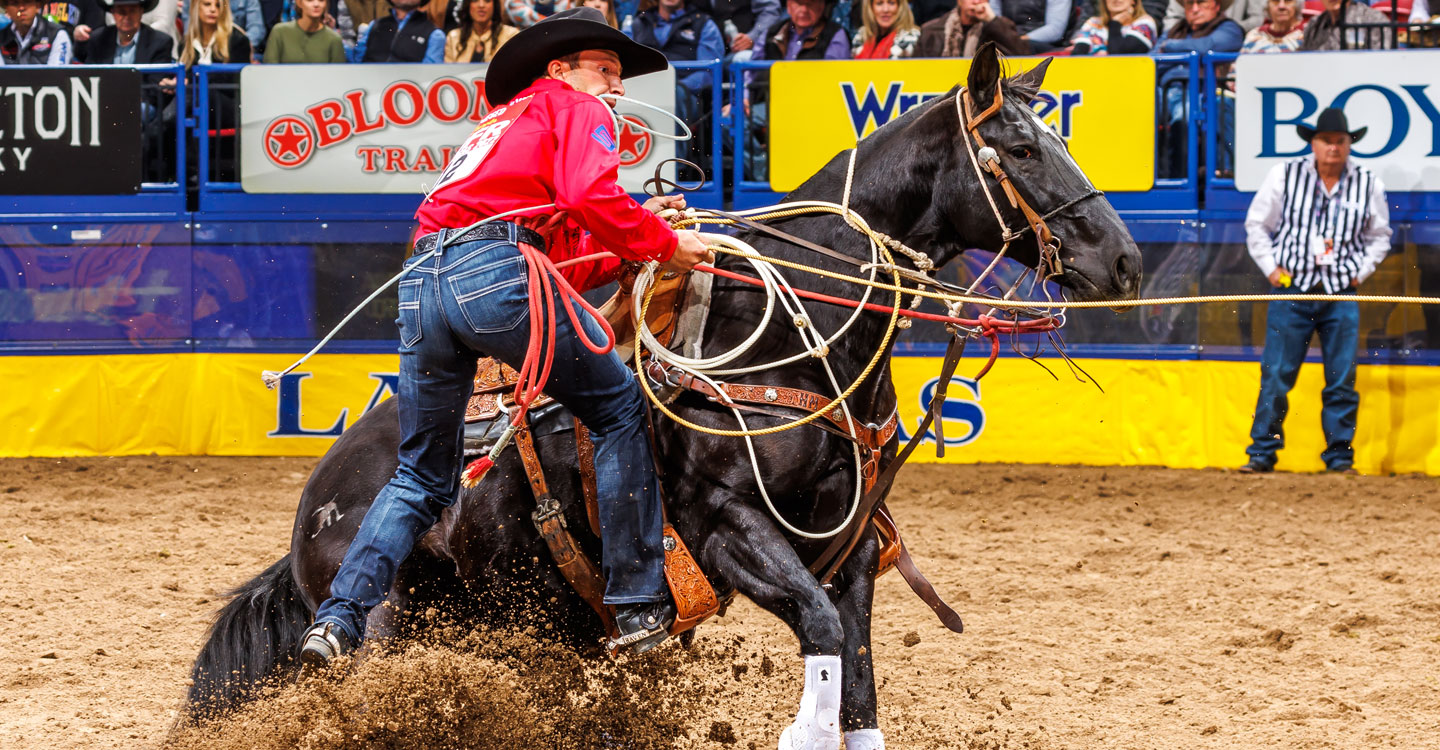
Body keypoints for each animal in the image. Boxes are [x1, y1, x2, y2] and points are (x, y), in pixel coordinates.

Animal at [185, 39, 1140, 748]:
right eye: (1022, 149)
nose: (1124, 260)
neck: (787, 338)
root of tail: (320, 495)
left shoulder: (854, 550)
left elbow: (858, 682)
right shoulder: (727, 527)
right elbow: (823, 642)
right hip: (391, 626)